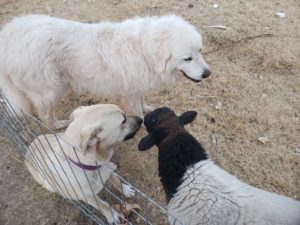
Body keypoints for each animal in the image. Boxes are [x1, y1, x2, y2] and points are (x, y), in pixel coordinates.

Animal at [0, 14, 211, 128]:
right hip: (51, 90)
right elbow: (138, 111)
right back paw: (58, 125)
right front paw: (144, 123)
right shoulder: (131, 92)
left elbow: (142, 103)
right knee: (44, 114)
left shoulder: (138, 87)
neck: (145, 49)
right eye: (187, 58)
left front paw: (148, 109)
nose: (208, 74)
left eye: (200, 51)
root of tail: (9, 35)